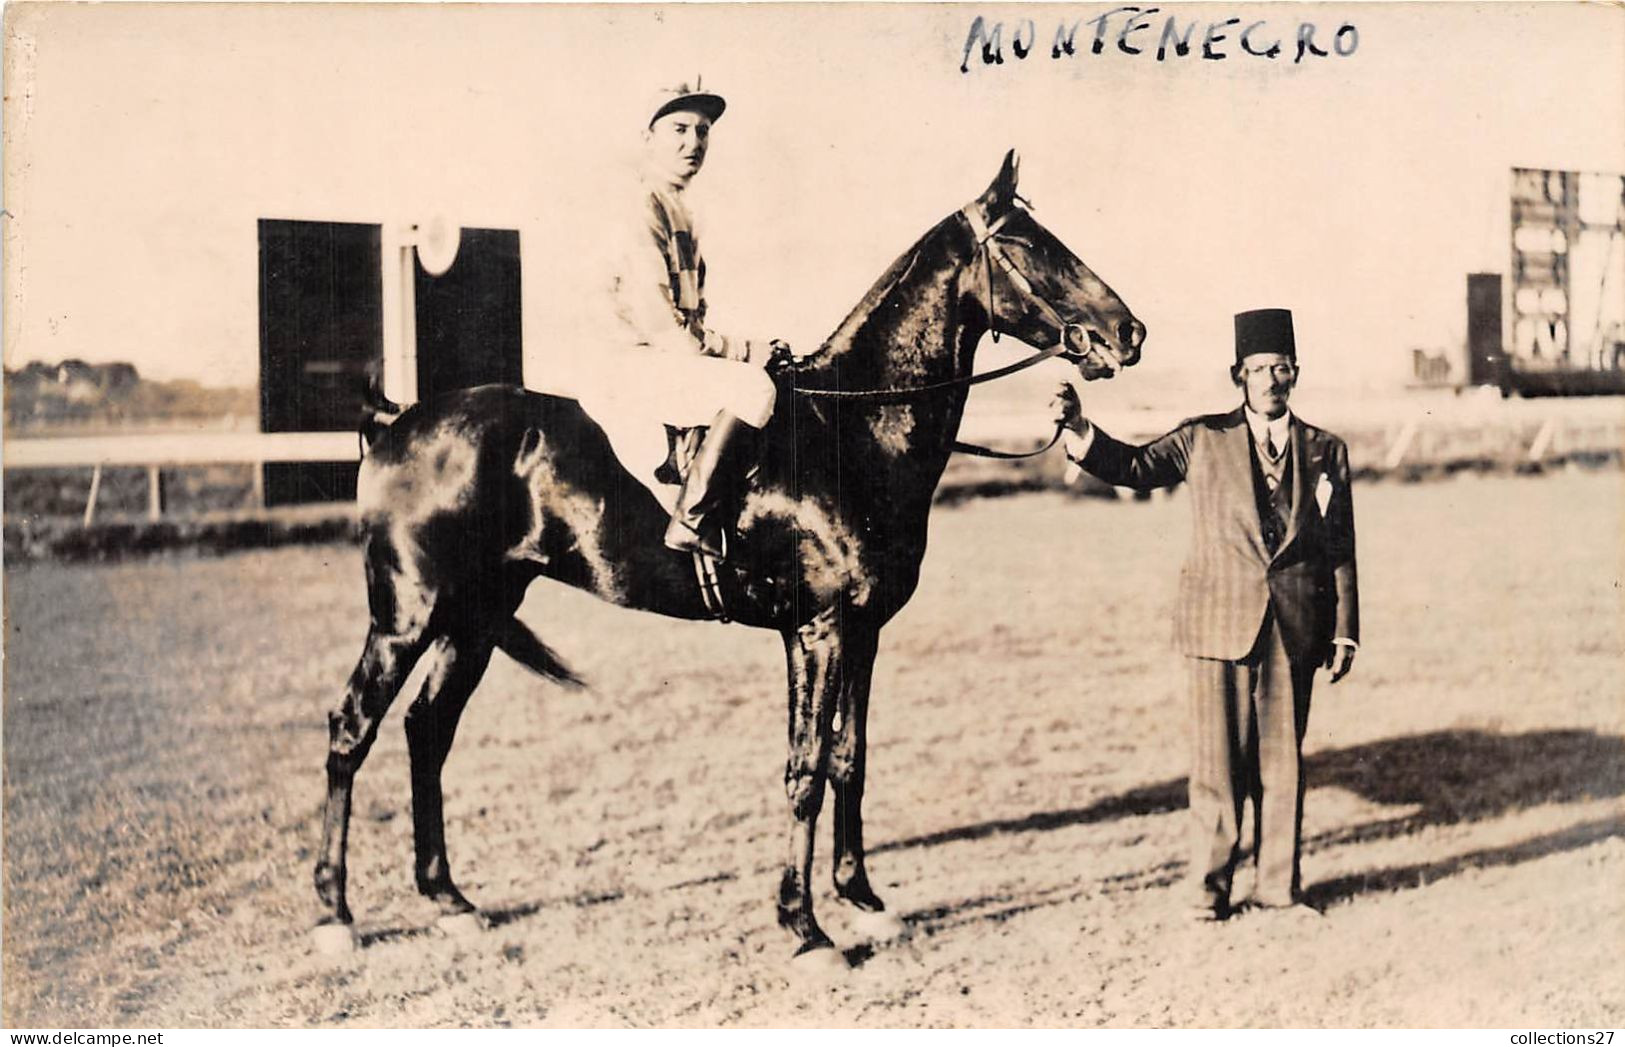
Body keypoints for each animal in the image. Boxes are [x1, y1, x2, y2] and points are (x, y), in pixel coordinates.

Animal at [313, 153, 1144, 962]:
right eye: (1030, 245)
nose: (1129, 332)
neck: (848, 430)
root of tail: (397, 420)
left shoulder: (863, 630)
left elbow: (849, 757)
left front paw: (864, 902)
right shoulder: (818, 629)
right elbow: (805, 767)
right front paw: (804, 927)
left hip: (477, 616)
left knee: (428, 728)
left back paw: (449, 901)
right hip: (409, 615)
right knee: (353, 726)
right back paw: (336, 916)